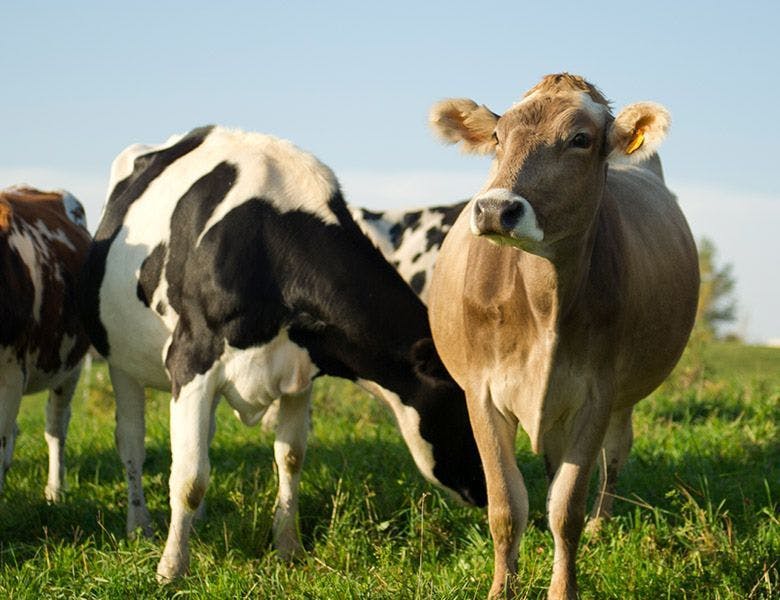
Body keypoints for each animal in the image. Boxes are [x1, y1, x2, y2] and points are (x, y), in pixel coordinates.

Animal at [84, 126, 488, 580]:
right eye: (468, 407)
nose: (488, 492)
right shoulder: (191, 361)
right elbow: (188, 477)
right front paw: (171, 568)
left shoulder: (298, 370)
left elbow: (290, 459)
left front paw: (287, 547)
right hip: (121, 361)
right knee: (132, 444)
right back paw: (141, 527)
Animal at [426, 72, 700, 596]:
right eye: (497, 137)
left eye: (580, 140)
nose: (495, 209)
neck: (543, 305)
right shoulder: (481, 392)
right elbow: (506, 507)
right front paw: (501, 589)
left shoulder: (597, 392)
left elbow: (566, 508)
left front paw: (562, 587)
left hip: (620, 399)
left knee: (614, 455)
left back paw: (600, 525)